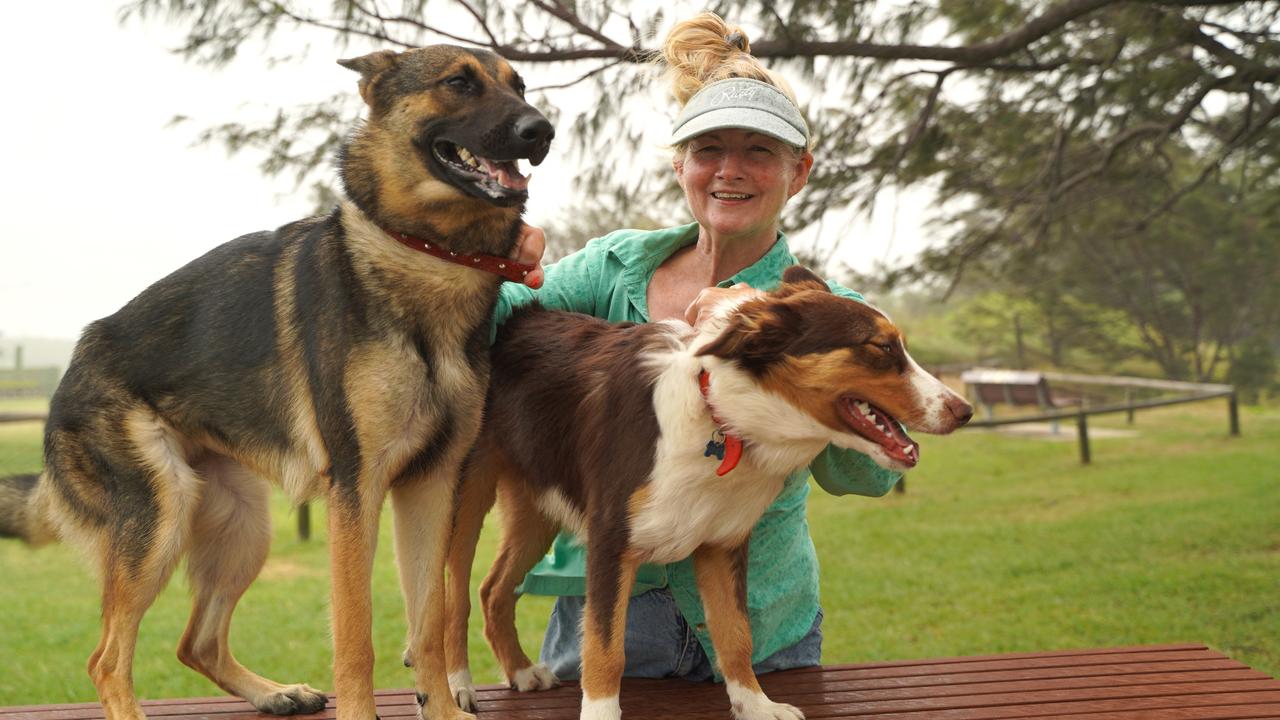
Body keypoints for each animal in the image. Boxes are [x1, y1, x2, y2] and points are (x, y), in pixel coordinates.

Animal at [0, 46, 550, 717]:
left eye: (519, 86)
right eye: (458, 83)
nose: (542, 131)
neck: (429, 255)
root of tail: (74, 363)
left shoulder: (431, 486)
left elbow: (429, 622)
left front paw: (443, 709)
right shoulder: (357, 493)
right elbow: (357, 634)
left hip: (243, 527)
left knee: (195, 643)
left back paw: (274, 694)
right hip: (160, 523)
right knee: (106, 659)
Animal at [440, 267, 967, 717]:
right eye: (881, 347)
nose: (963, 411)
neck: (721, 411)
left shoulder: (723, 545)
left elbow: (735, 635)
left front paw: (755, 705)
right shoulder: (612, 542)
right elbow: (606, 650)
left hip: (537, 509)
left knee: (493, 589)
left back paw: (520, 671)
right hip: (460, 505)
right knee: (450, 598)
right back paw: (456, 686)